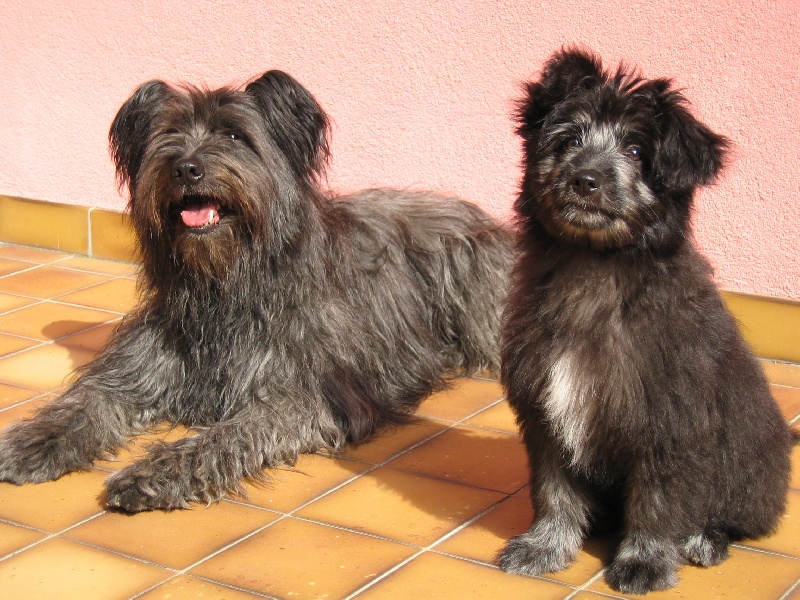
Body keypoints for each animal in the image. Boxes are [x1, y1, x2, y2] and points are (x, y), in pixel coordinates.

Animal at [0, 70, 514, 512]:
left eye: (233, 136)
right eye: (169, 134)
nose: (186, 168)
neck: (224, 286)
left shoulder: (301, 393)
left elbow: (228, 435)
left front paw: (158, 472)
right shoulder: (140, 368)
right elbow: (86, 402)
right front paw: (32, 441)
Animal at [498, 48, 795, 594]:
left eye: (637, 151)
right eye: (568, 140)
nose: (584, 180)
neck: (596, 267)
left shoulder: (668, 418)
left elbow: (658, 502)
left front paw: (645, 561)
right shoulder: (548, 410)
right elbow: (554, 490)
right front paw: (546, 545)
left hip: (746, 470)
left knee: (733, 517)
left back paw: (704, 538)